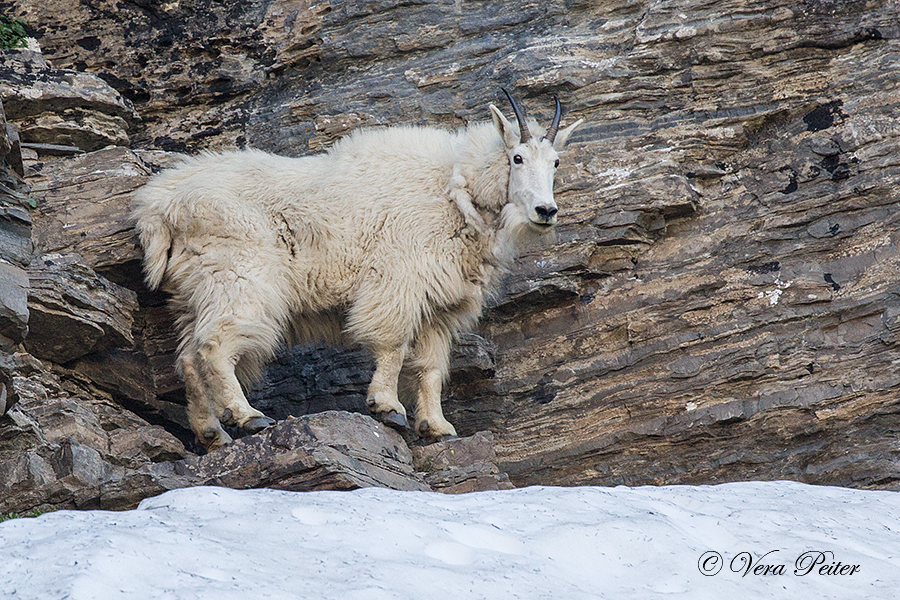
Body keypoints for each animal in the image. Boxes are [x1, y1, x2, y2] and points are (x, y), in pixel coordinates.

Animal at [134, 91, 584, 450]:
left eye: (556, 162)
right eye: (517, 157)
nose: (546, 211)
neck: (455, 188)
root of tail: (159, 207)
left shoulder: (439, 307)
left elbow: (431, 367)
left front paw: (436, 426)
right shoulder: (399, 279)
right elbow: (394, 346)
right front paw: (388, 407)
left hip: (193, 290)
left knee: (188, 357)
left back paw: (212, 432)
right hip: (239, 278)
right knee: (215, 346)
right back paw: (246, 414)